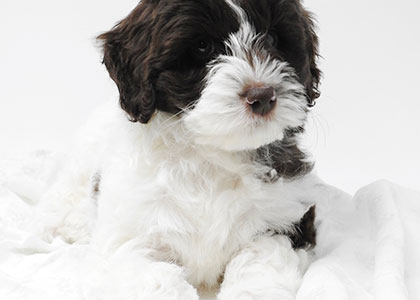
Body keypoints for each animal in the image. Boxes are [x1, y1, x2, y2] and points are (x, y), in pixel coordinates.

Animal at [40, 0, 322, 298]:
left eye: (273, 38)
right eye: (202, 46)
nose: (263, 96)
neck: (211, 154)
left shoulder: (284, 223)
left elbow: (259, 268)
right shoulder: (135, 237)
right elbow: (157, 279)